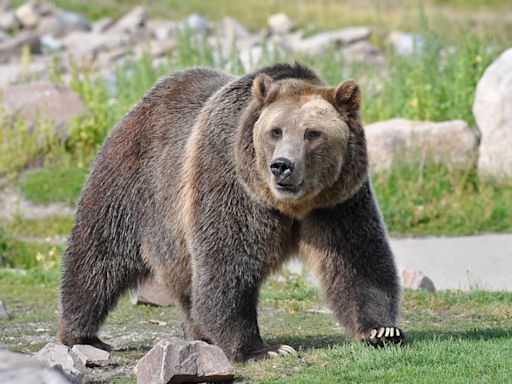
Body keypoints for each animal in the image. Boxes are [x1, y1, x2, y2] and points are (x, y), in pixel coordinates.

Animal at [60, 63, 404, 364]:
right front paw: (262, 348)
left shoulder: (337, 201)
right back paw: (82, 334)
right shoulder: (232, 182)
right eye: (276, 131)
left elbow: (357, 260)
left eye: (312, 133)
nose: (282, 166)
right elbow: (228, 262)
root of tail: (143, 102)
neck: (289, 204)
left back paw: (199, 334)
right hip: (132, 184)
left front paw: (381, 330)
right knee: (98, 257)